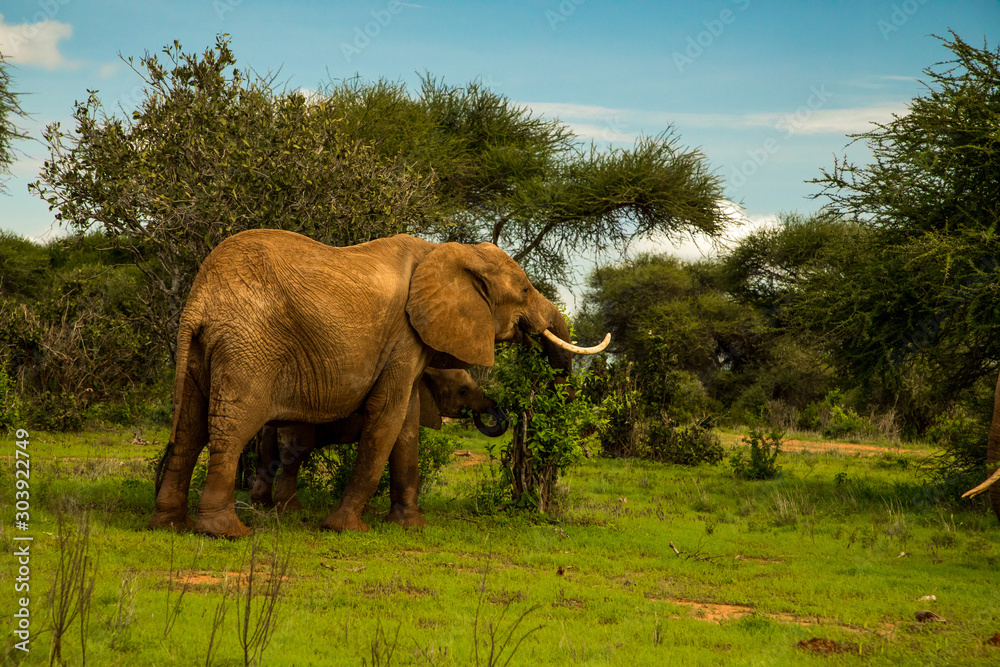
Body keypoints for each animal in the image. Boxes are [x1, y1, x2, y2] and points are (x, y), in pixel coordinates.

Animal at [250, 367, 507, 510]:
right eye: (463, 391)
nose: (490, 412)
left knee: (267, 454)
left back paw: (262, 504)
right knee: (294, 455)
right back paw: (291, 508)